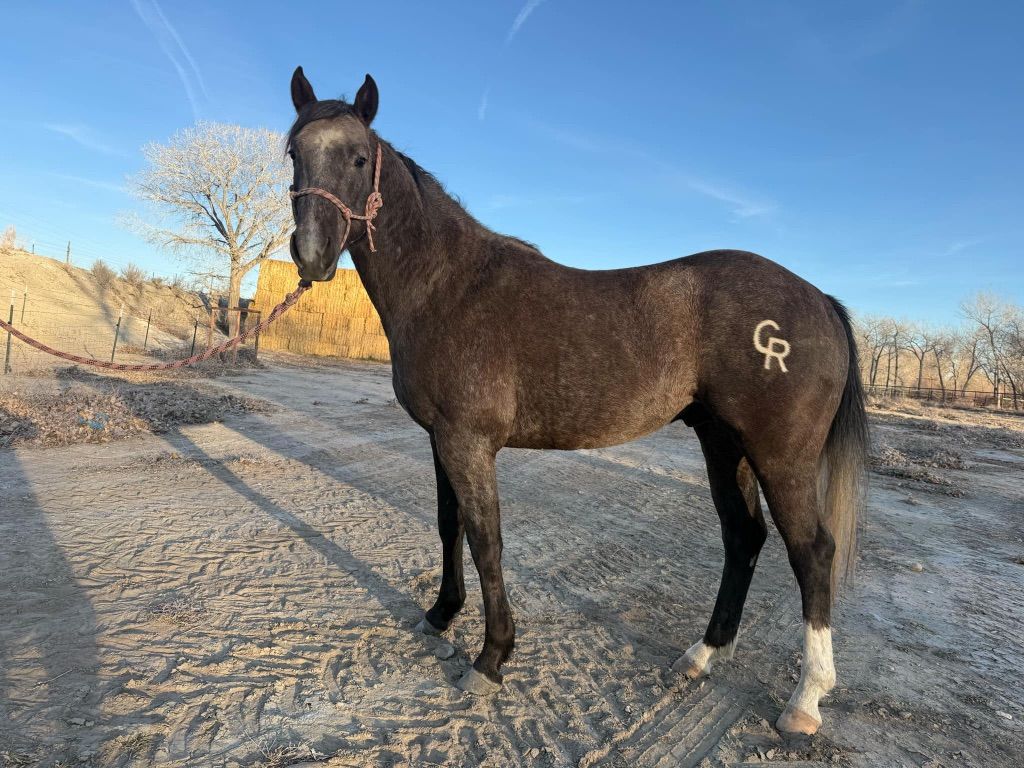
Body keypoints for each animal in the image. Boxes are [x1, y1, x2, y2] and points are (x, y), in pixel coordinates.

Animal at [284, 67, 868, 736]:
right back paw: (702, 654)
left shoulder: (468, 442)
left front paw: (490, 658)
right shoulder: (439, 438)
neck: (448, 286)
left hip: (780, 456)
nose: (310, 255)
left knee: (811, 553)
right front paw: (439, 616)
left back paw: (805, 699)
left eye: (359, 157)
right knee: (743, 538)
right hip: (724, 443)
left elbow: (486, 539)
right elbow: (448, 525)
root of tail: (820, 298)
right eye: (294, 152)